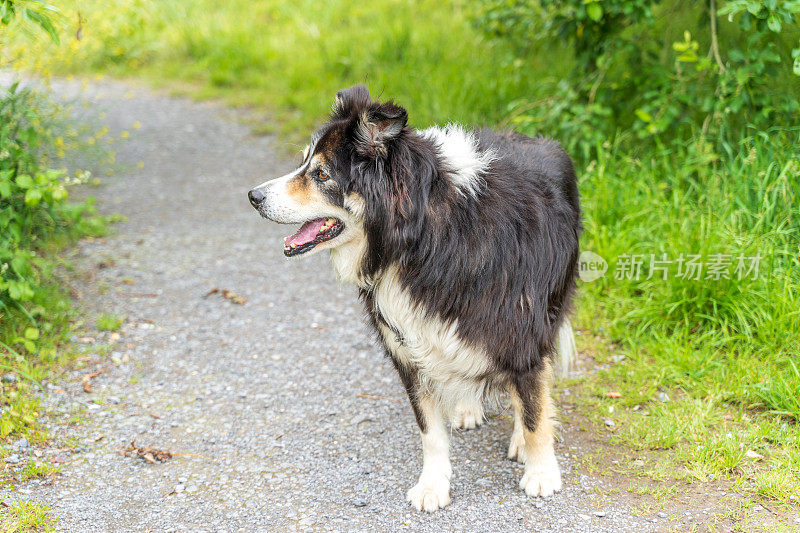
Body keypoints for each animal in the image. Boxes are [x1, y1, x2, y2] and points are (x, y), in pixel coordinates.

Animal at [247, 86, 580, 512]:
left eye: (321, 174)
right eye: (304, 162)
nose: (254, 196)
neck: (423, 240)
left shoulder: (521, 332)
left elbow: (536, 409)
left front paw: (541, 473)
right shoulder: (409, 349)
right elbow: (430, 432)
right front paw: (433, 486)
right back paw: (467, 406)